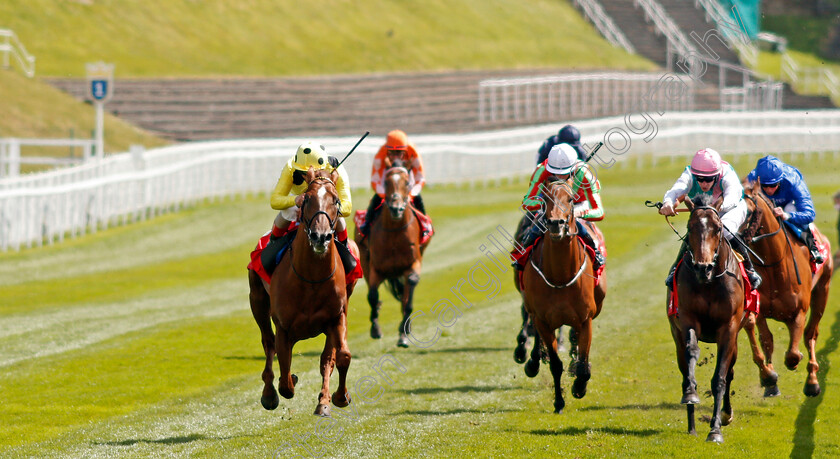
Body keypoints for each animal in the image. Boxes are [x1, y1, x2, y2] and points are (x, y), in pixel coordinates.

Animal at [246, 168, 358, 416]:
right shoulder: (284, 326)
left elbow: (341, 356)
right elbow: (285, 377)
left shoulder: (337, 316)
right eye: (306, 199)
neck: (311, 279)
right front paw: (286, 384)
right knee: (268, 342)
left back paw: (324, 400)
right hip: (257, 299)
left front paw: (337, 397)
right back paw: (269, 393)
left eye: (336, 200)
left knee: (326, 358)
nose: (320, 236)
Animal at [356, 165, 434, 348]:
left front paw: (403, 335)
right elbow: (372, 295)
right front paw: (375, 329)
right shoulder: (376, 268)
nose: (396, 208)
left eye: (407, 183)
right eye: (386, 182)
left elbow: (408, 294)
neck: (394, 233)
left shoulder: (413, 263)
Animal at [516, 178, 608, 416]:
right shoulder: (543, 319)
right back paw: (532, 360)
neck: (560, 276)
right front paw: (559, 402)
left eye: (571, 199)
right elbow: (556, 365)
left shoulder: (585, 319)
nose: (555, 223)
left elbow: (584, 366)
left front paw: (579, 386)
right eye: (546, 197)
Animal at [668, 193, 744, 442]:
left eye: (718, 228)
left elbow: (720, 378)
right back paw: (691, 424)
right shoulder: (688, 319)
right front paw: (691, 394)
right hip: (676, 336)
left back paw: (726, 415)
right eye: (690, 227)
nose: (704, 267)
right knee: (684, 369)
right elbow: (691, 352)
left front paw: (715, 429)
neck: (710, 283)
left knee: (730, 372)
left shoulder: (729, 328)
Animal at [740, 183, 832, 398]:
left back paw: (812, 382)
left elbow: (792, 354)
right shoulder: (761, 311)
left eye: (747, 212)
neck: (774, 265)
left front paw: (796, 364)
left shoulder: (800, 311)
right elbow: (767, 341)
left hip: (822, 291)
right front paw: (770, 380)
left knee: (810, 334)